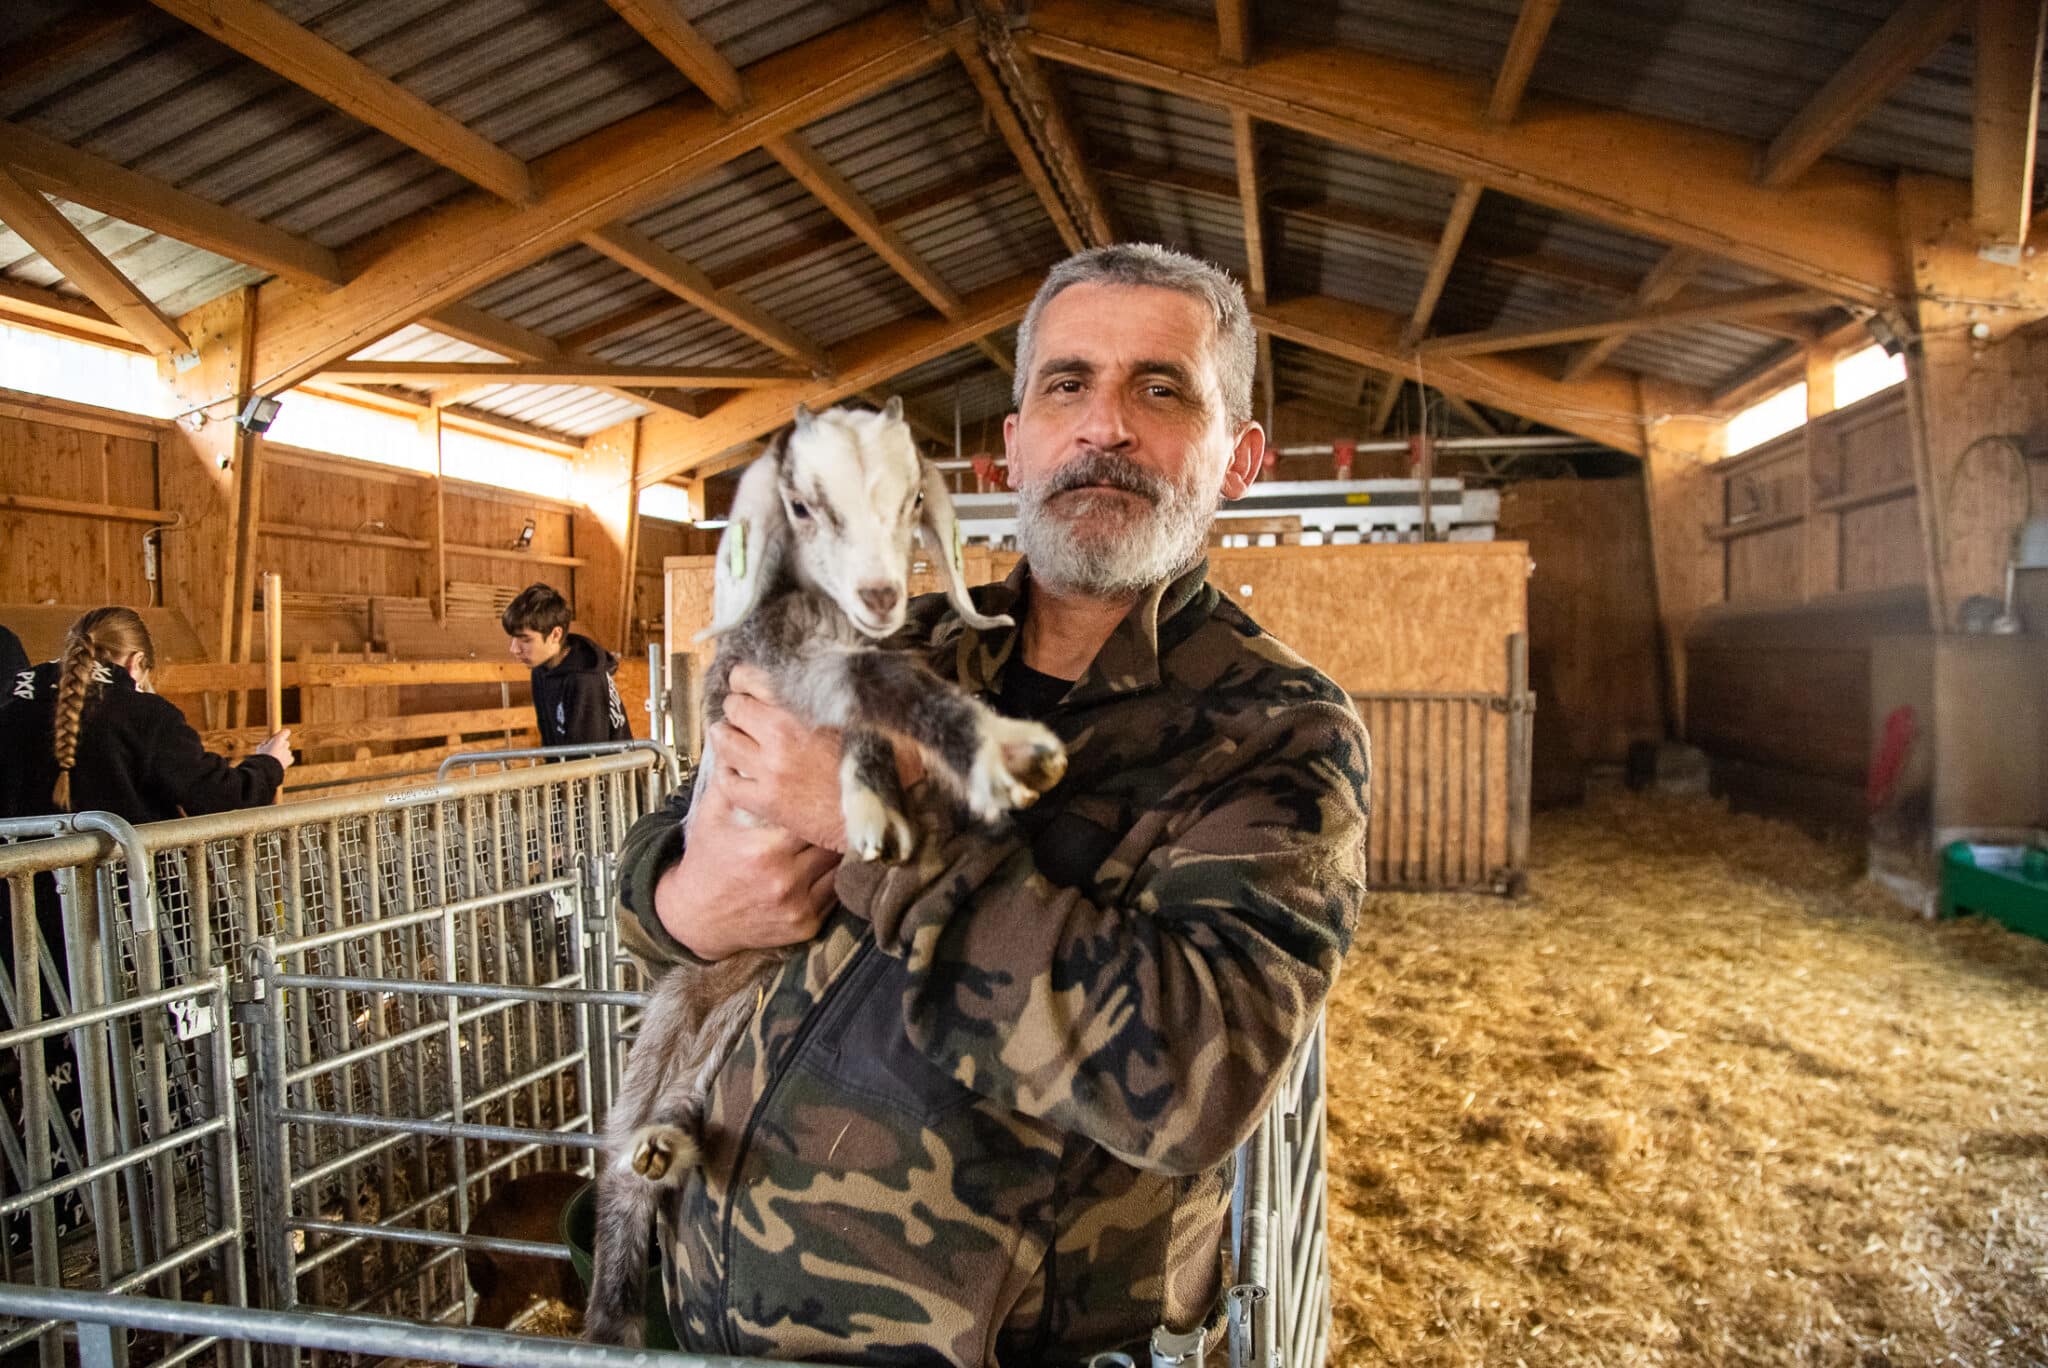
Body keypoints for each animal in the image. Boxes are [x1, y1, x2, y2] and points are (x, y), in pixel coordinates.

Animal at [585, 397, 1064, 1343]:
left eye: (913, 499)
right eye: (803, 508)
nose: (881, 594)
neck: (832, 620)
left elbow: (881, 697)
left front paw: (878, 797)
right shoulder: (780, 671)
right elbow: (879, 685)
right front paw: (997, 752)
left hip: (725, 1025)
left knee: (683, 1106)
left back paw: (671, 1145)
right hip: (666, 1015)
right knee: (620, 1169)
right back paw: (611, 1308)